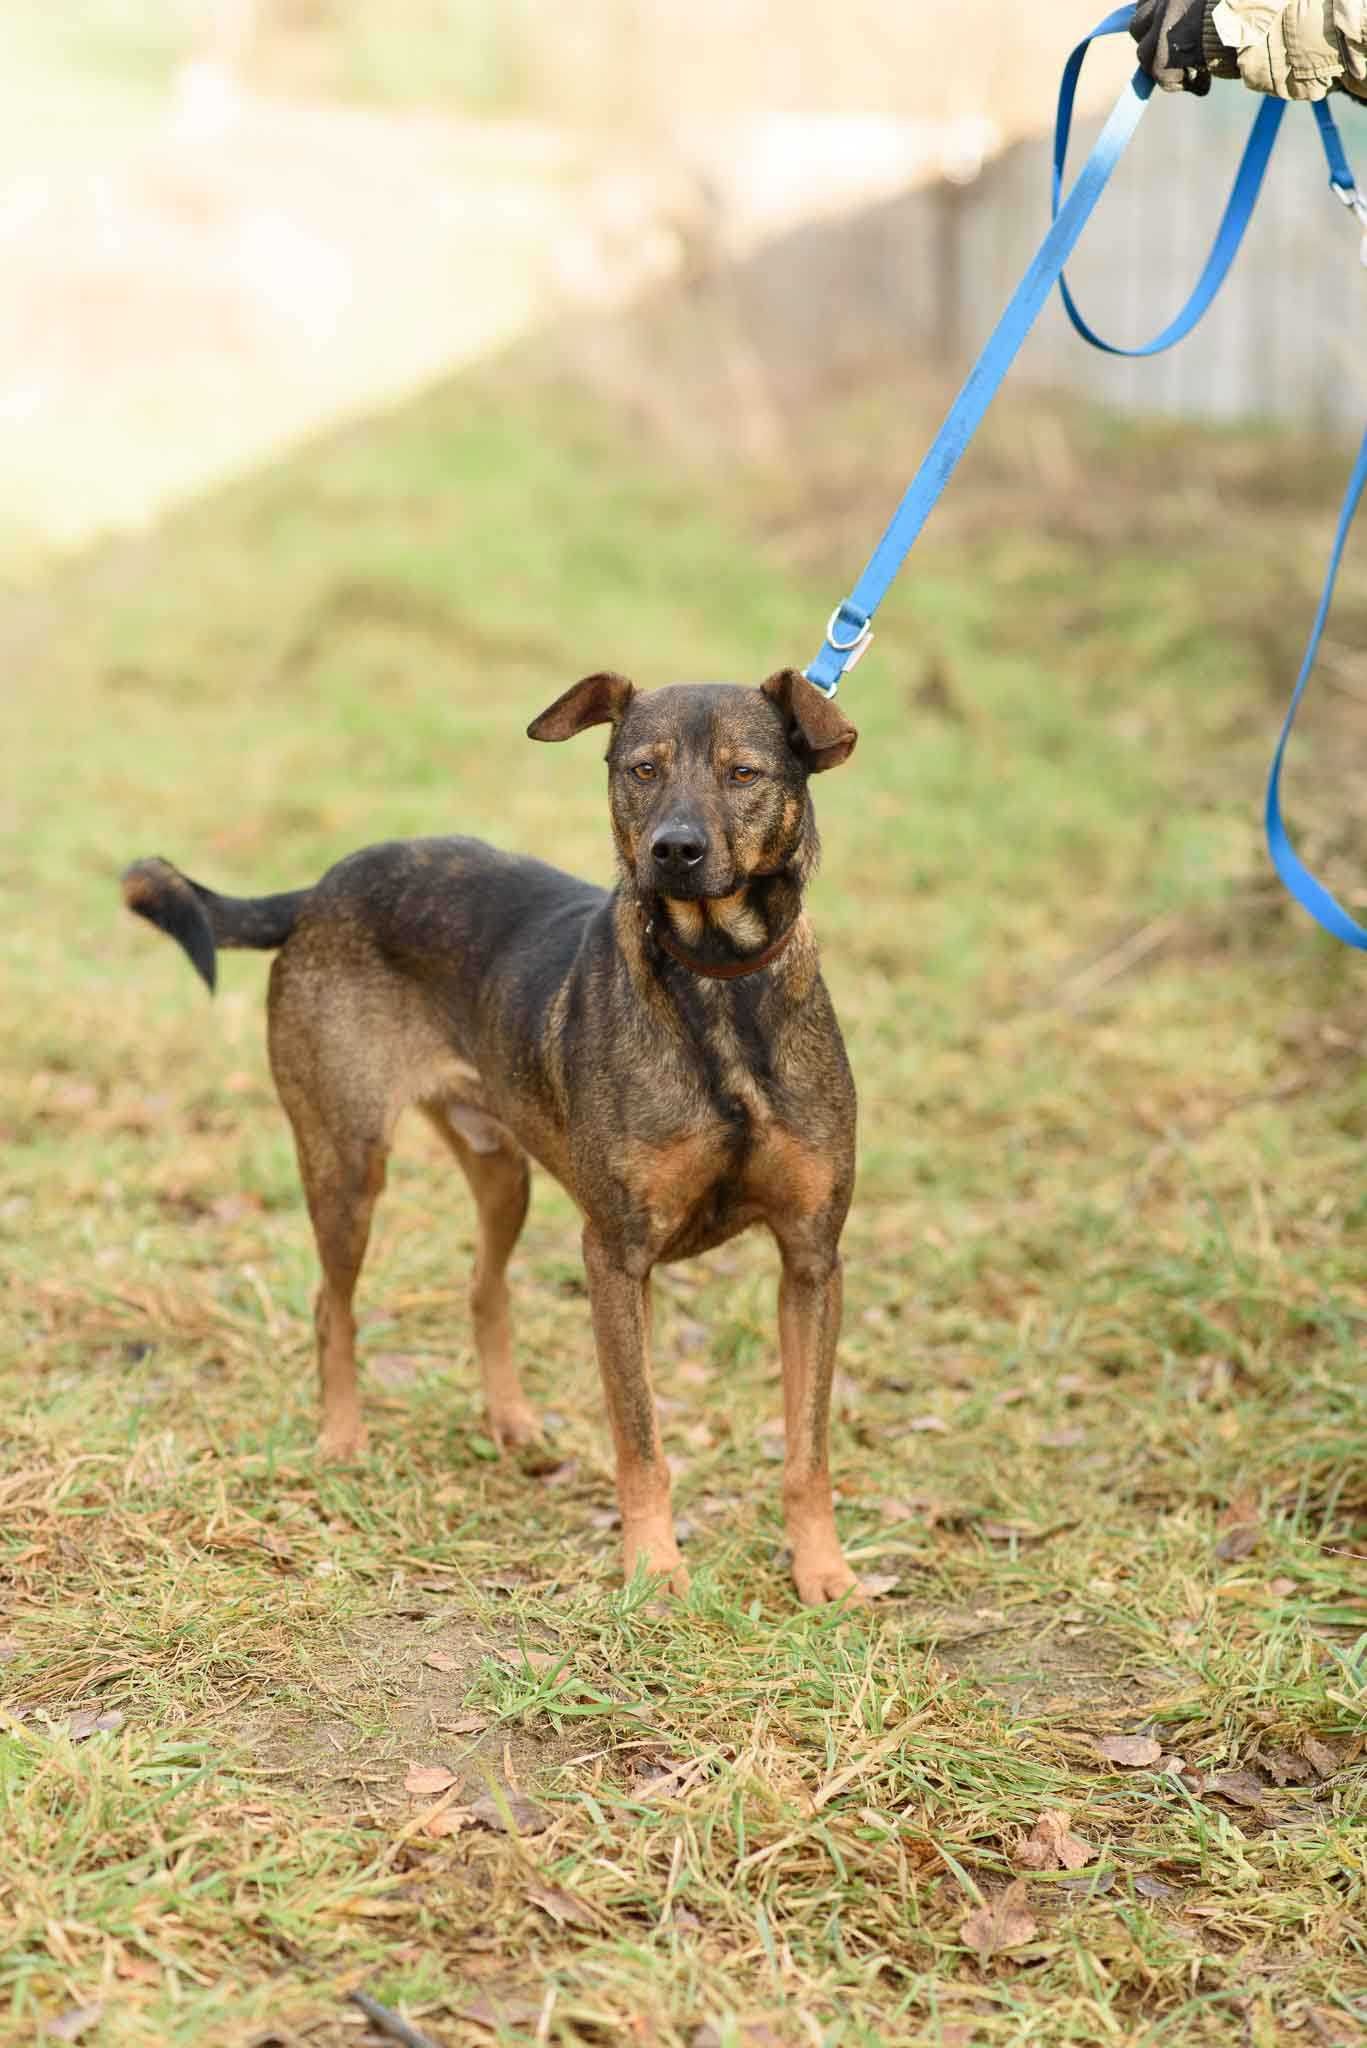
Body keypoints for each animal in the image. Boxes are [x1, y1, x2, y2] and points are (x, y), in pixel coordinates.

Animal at [122, 667, 860, 1597]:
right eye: (642, 769)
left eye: (743, 773)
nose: (674, 851)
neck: (716, 982)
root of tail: (321, 888)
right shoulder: (616, 1255)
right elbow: (640, 1439)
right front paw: (653, 1569)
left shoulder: (810, 1258)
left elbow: (807, 1450)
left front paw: (822, 1571)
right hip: (346, 1164)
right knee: (333, 1305)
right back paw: (342, 1440)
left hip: (501, 1169)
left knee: (483, 1287)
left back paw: (509, 1421)